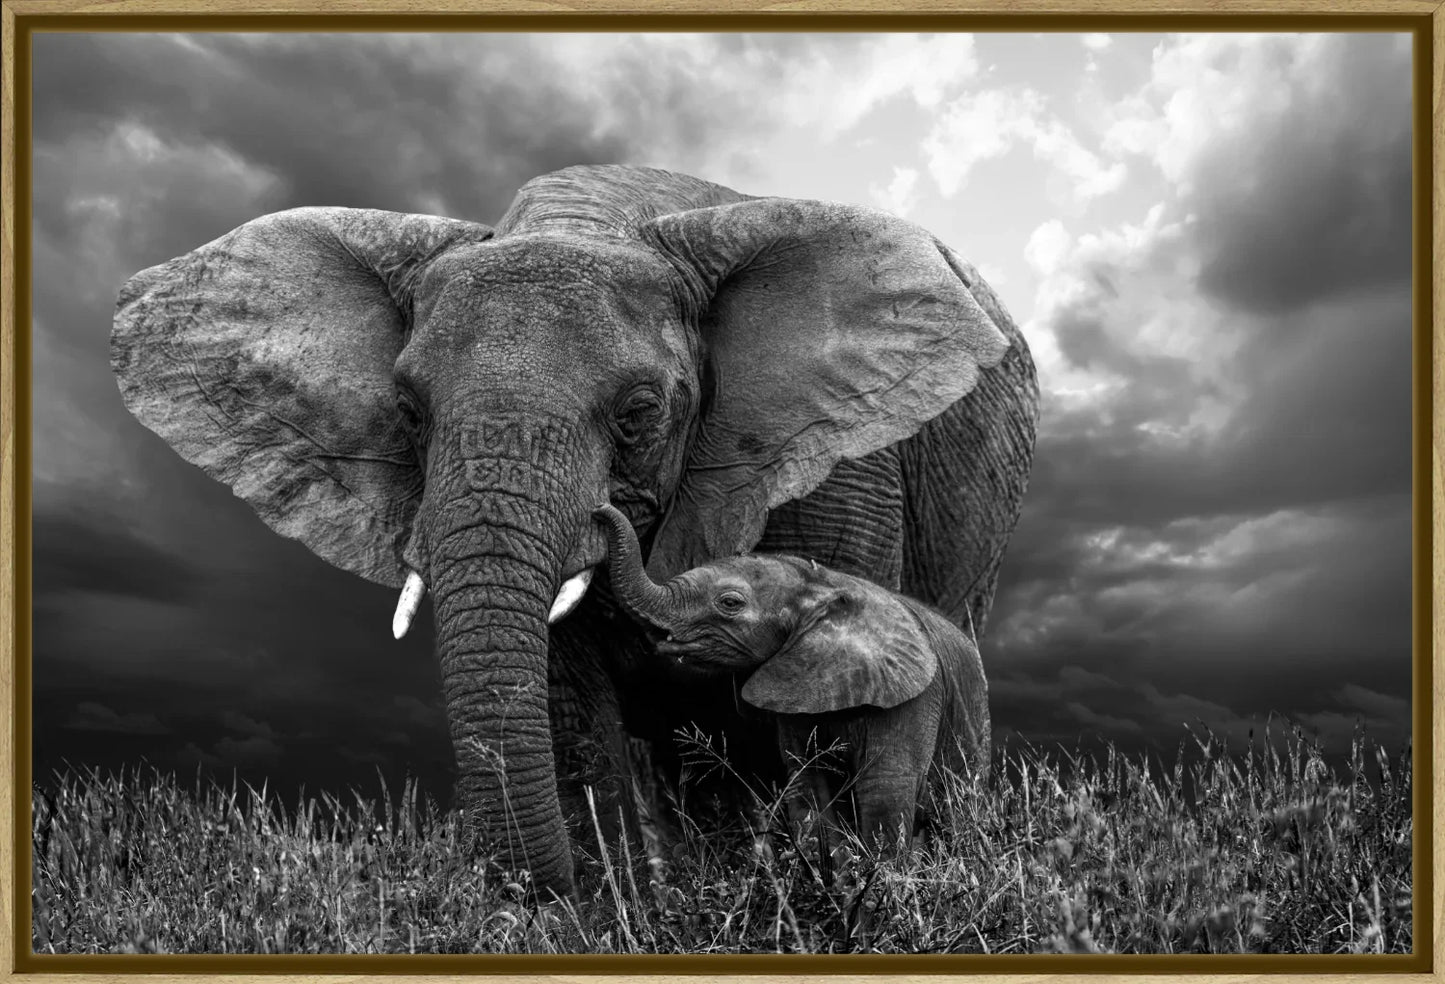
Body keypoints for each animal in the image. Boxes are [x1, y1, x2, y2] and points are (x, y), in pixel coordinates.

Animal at [593, 502, 989, 861]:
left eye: (730, 603)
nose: (599, 510)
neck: (821, 586)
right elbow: (808, 789)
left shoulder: (912, 699)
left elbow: (885, 791)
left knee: (954, 818)